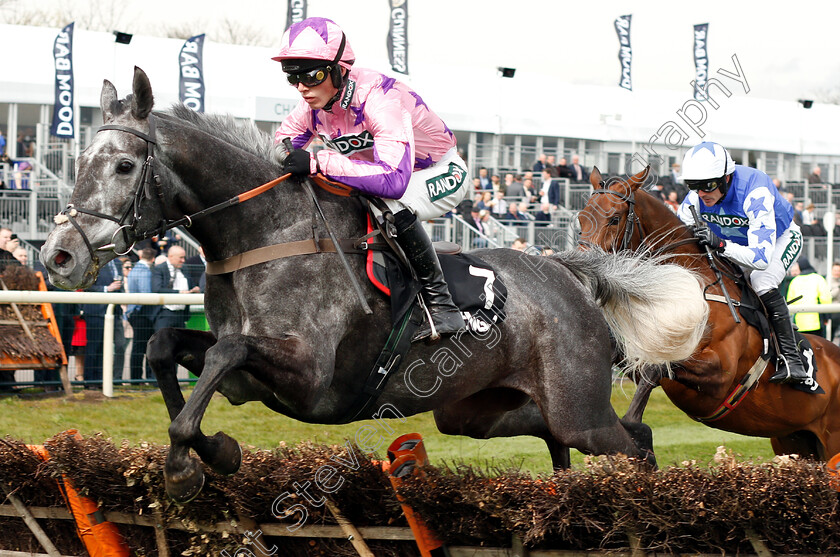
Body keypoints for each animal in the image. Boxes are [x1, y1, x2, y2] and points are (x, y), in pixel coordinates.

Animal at [41, 67, 708, 502]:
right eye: (76, 160)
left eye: (124, 165)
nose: (59, 256)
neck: (266, 232)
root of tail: (567, 271)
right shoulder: (246, 379)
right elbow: (163, 347)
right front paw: (215, 452)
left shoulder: (308, 378)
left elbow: (222, 354)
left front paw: (186, 467)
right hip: (478, 412)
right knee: (596, 435)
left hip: (576, 409)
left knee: (630, 446)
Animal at [580, 165, 840, 460]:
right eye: (580, 218)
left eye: (613, 219)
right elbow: (637, 364)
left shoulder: (720, 374)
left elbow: (656, 369)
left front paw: (634, 429)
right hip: (794, 443)